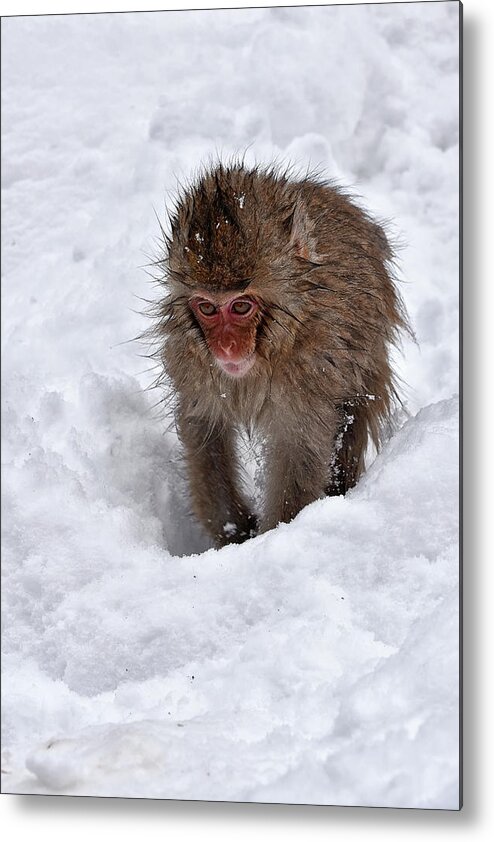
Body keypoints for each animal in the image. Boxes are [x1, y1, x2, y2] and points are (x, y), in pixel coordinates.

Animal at [151, 162, 410, 548]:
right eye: (208, 308)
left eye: (241, 306)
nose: (226, 347)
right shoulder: (191, 363)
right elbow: (205, 427)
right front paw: (232, 529)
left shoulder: (314, 368)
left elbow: (298, 447)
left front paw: (274, 536)